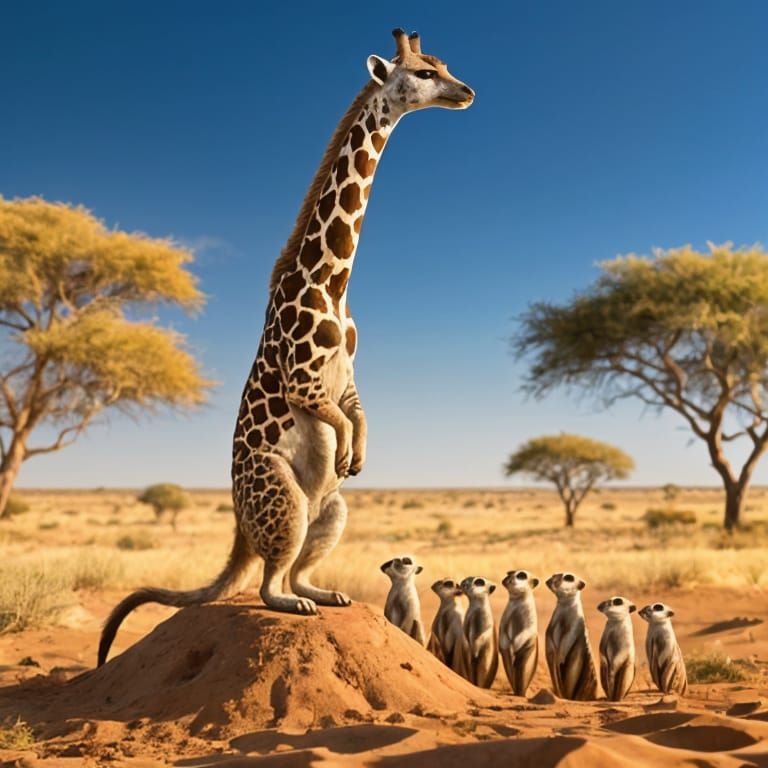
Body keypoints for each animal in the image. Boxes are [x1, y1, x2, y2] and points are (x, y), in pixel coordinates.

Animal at [98, 28, 474, 665]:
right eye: (424, 73)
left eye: (442, 65)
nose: (466, 92)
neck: (332, 281)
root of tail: (239, 528)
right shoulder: (303, 377)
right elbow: (334, 418)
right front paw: (346, 453)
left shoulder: (348, 376)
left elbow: (358, 414)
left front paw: (357, 457)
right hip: (285, 496)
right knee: (270, 586)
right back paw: (296, 605)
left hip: (334, 508)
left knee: (296, 571)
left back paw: (327, 595)